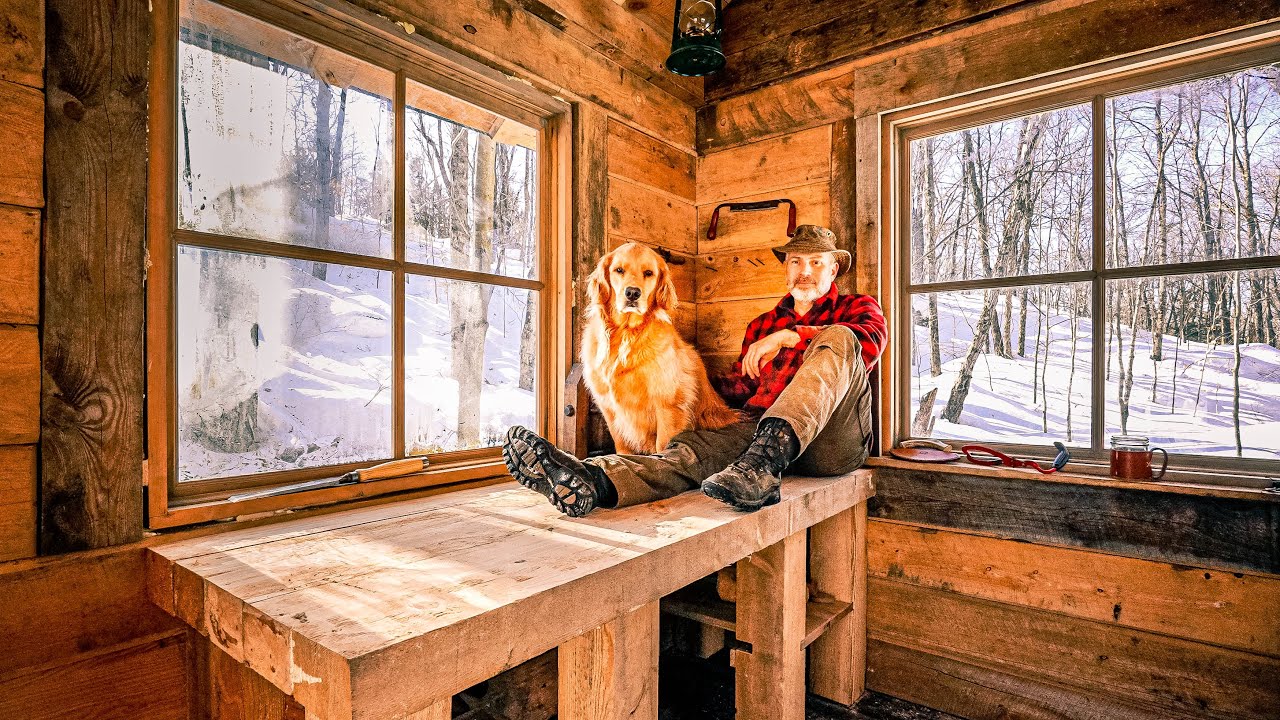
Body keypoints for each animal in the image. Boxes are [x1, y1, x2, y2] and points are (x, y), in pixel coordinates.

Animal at [583, 240, 742, 453]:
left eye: (648, 273)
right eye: (619, 270)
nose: (632, 293)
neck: (627, 333)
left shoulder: (667, 404)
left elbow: (663, 444)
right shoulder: (609, 407)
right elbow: (622, 446)